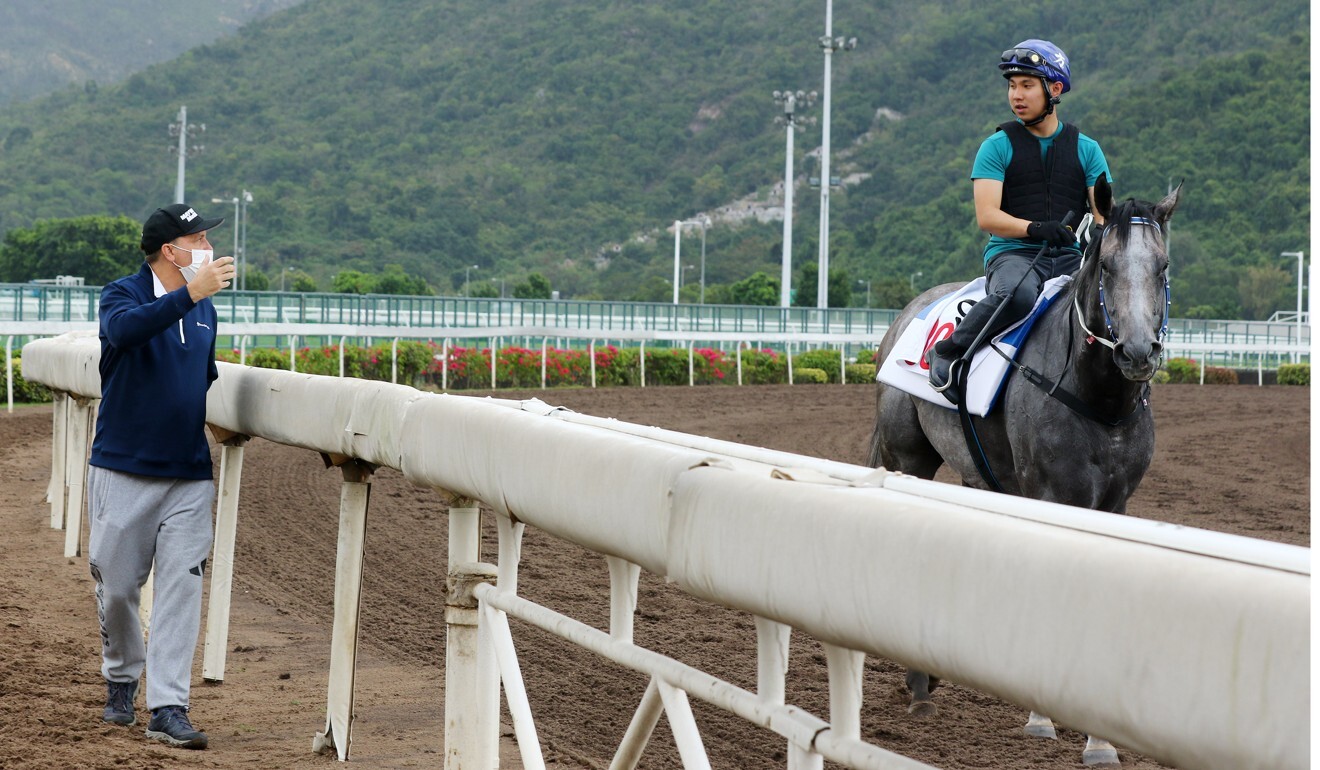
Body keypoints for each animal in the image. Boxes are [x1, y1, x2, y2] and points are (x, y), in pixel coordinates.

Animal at [871, 178, 1182, 766]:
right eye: (1106, 265)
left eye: (1163, 266)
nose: (1137, 352)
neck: (1098, 400)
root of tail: (910, 311)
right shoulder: (1048, 493)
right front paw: (1041, 716)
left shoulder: (1115, 504)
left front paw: (1099, 739)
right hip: (909, 459)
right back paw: (920, 685)